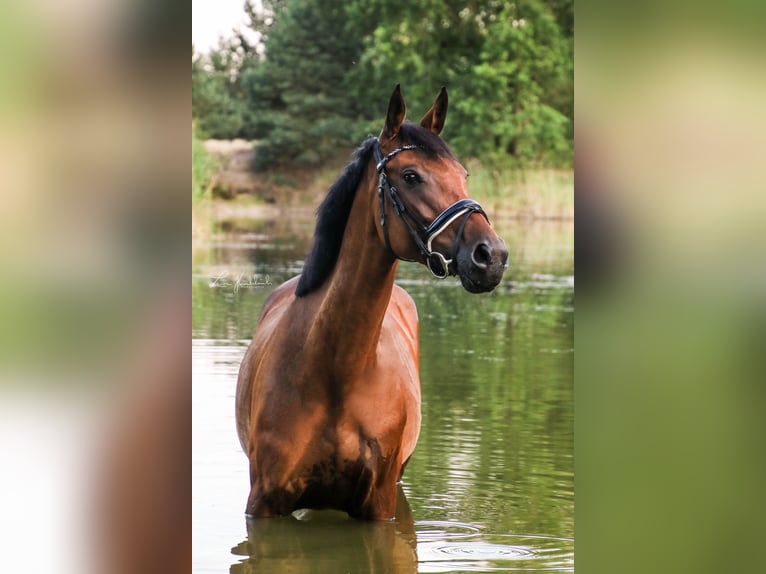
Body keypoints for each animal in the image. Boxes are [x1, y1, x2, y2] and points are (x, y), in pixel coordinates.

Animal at [234, 85, 510, 520]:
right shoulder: (264, 503)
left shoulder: (379, 505)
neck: (335, 370)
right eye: (411, 176)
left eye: (462, 175)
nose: (491, 256)